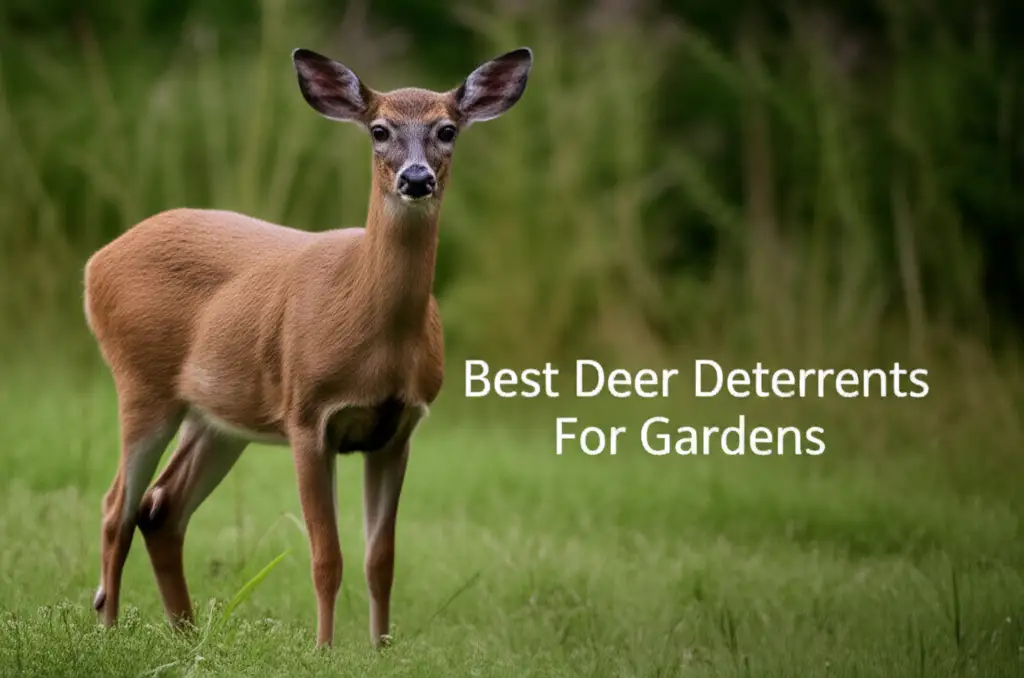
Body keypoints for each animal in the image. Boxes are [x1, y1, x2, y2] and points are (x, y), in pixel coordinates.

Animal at [82, 45, 533, 648]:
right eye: (379, 130)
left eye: (448, 130)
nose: (416, 178)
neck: (379, 339)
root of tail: (95, 263)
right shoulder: (307, 414)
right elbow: (326, 557)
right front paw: (323, 650)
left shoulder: (400, 427)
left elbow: (380, 560)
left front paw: (381, 650)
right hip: (141, 381)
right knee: (116, 507)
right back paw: (109, 628)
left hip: (220, 417)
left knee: (160, 508)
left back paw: (188, 634)